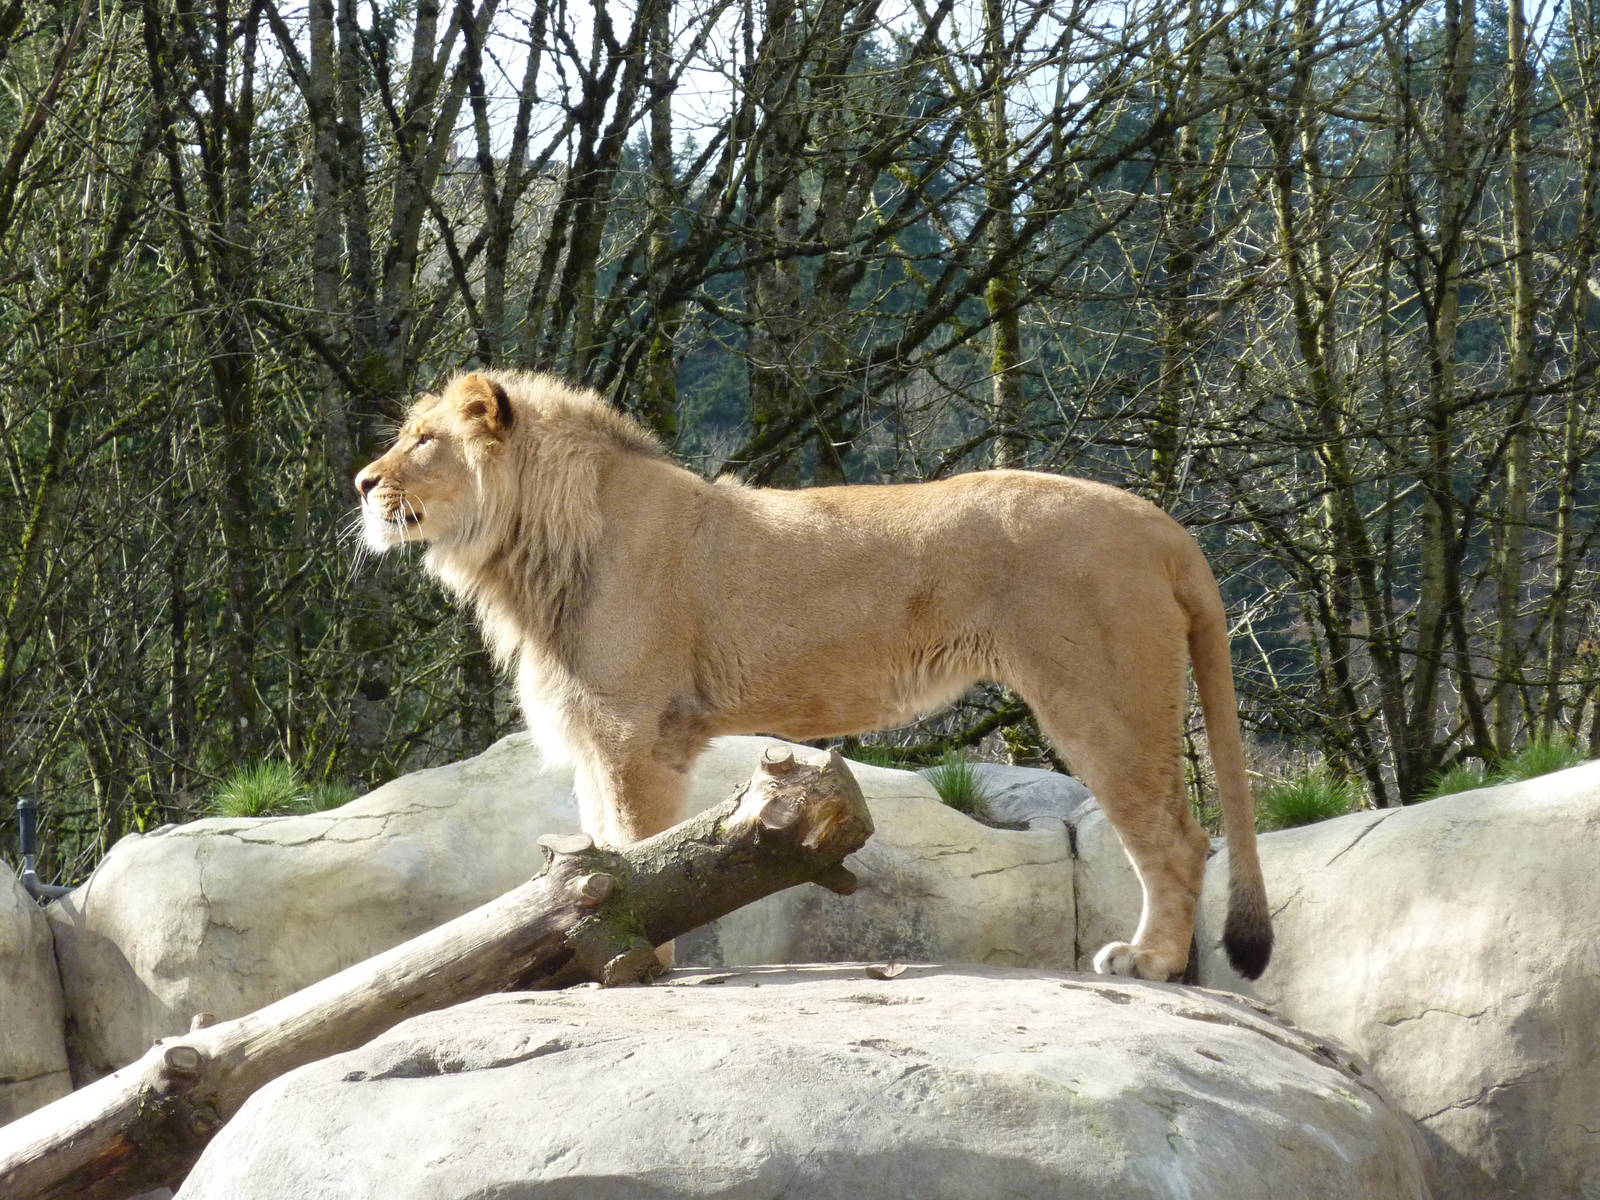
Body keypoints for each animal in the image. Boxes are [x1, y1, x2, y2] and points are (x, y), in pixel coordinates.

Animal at [354, 369, 1272, 982]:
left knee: (1177, 839)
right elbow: (601, 849)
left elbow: (633, 853)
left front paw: (643, 958)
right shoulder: (596, 741)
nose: (362, 482)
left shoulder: (635, 736)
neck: (529, 554)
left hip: (1101, 699)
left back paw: (1149, 962)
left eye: (424, 439)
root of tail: (1160, 524)